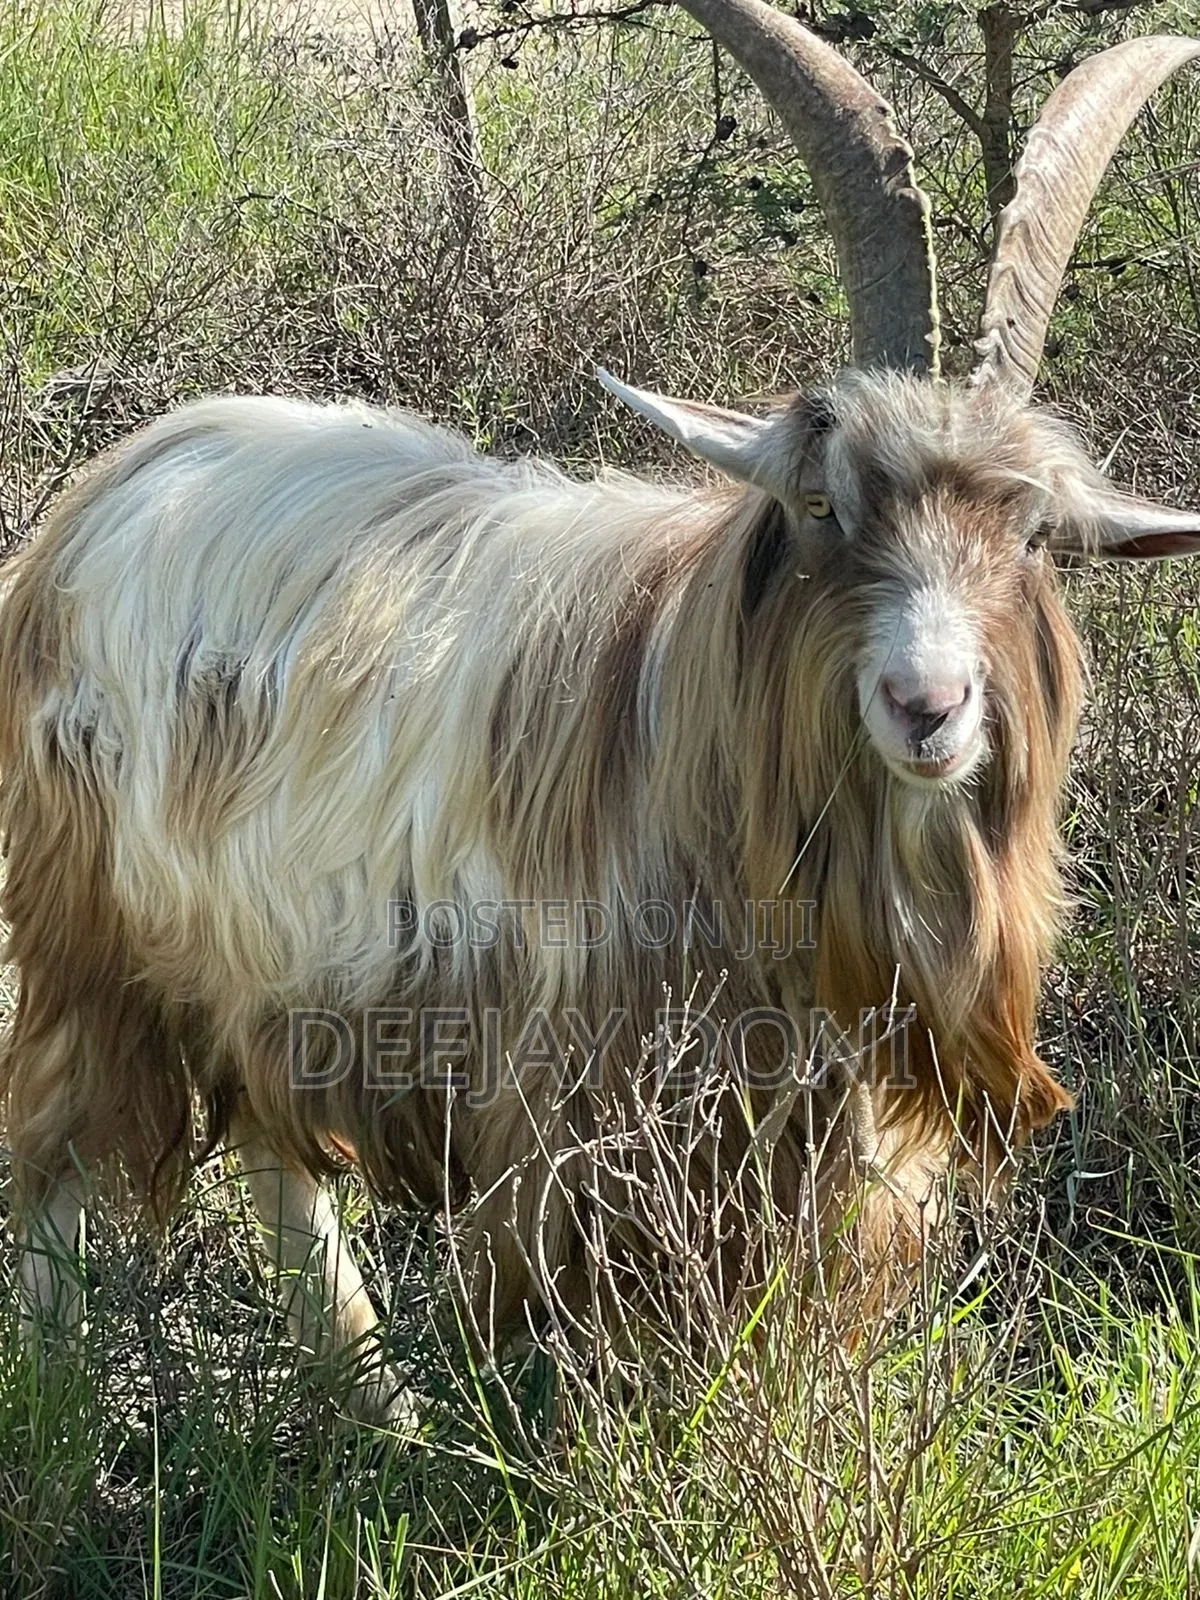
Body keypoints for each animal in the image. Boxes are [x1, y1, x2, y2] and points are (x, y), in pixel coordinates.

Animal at [3, 10, 1200, 1424]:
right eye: (823, 508)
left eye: (1028, 534)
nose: (928, 705)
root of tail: (109, 486)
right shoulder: (599, 1120)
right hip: (89, 924)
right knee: (58, 1158)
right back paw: (66, 1416)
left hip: (256, 963)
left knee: (271, 1152)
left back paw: (373, 1400)